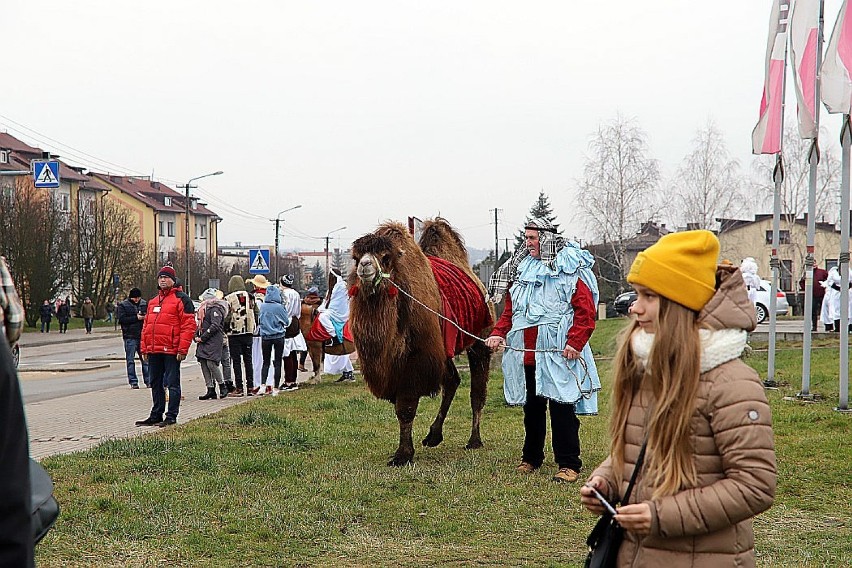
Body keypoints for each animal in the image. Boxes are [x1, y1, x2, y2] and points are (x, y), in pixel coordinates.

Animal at [346, 217, 492, 466]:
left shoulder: (418, 358)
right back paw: (434, 436)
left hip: (481, 340)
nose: (364, 266)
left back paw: (474, 440)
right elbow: (401, 408)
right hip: (445, 347)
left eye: (385, 257)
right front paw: (406, 451)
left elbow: (405, 407)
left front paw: (403, 455)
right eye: (356, 257)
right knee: (452, 380)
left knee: (477, 392)